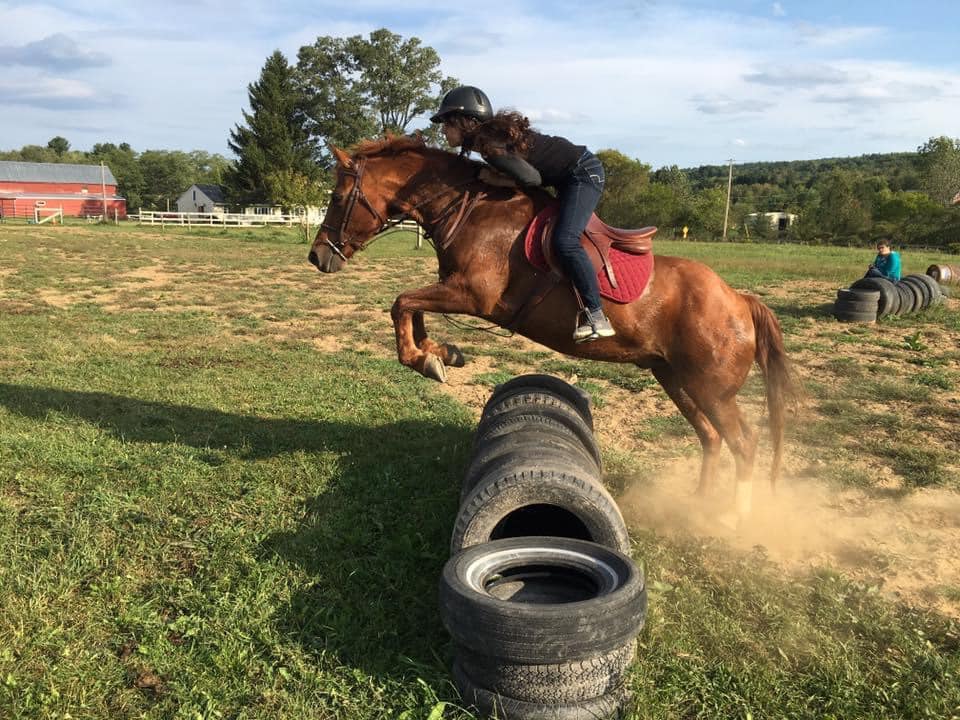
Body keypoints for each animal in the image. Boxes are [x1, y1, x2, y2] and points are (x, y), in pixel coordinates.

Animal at [310, 135, 796, 516]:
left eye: (335, 199)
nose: (317, 257)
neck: (470, 209)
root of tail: (739, 300)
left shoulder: (473, 295)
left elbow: (402, 302)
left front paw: (425, 358)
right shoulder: (455, 291)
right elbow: (410, 307)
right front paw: (440, 354)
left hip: (712, 389)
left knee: (744, 443)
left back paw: (731, 520)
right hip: (675, 378)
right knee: (712, 439)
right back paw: (698, 504)